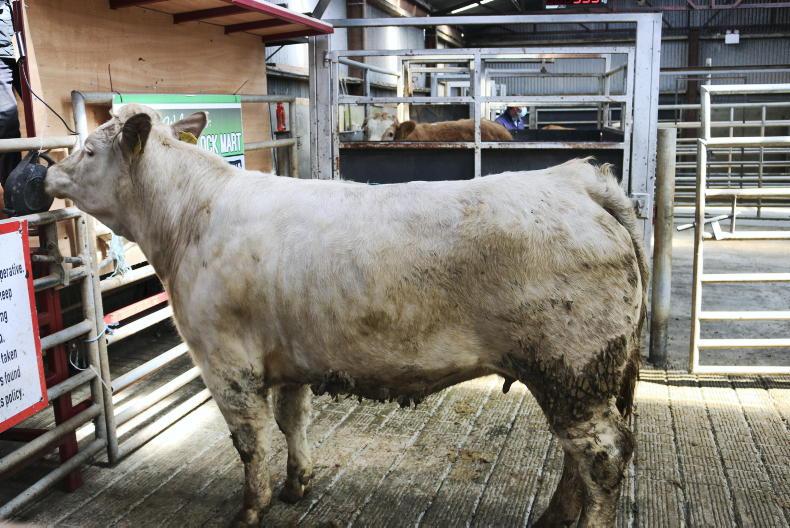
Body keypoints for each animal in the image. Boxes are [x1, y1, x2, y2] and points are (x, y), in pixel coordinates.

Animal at [46, 104, 647, 528]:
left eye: (90, 149)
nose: (48, 172)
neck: (190, 217)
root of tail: (576, 180)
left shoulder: (223, 358)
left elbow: (249, 441)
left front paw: (251, 507)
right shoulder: (286, 356)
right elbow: (292, 421)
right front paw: (297, 484)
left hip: (571, 366)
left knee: (602, 455)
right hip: (572, 376)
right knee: (576, 456)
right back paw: (553, 516)